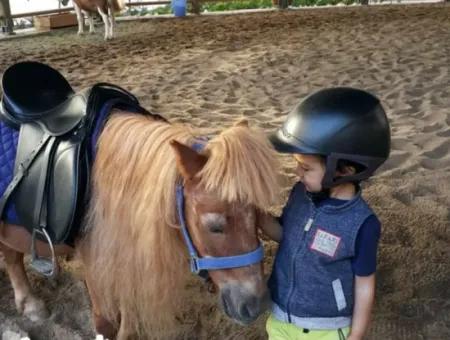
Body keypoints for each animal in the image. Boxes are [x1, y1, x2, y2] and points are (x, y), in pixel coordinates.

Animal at [0, 109, 282, 340]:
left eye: (258, 216)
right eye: (215, 226)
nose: (256, 305)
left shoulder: (127, 259)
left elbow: (128, 319)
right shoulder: (97, 270)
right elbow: (105, 324)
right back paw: (31, 305)